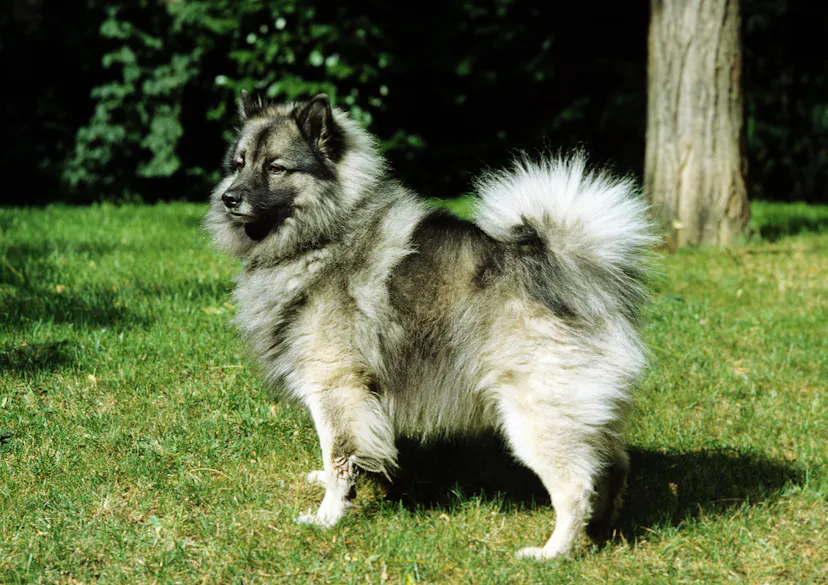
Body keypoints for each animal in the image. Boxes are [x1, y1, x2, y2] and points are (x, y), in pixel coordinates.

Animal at [205, 90, 656, 559]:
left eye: (276, 167)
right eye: (238, 164)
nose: (229, 198)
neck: (327, 233)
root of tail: (575, 276)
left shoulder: (335, 386)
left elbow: (339, 456)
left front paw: (328, 517)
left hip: (536, 418)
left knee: (576, 487)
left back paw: (552, 553)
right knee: (614, 467)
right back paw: (601, 531)